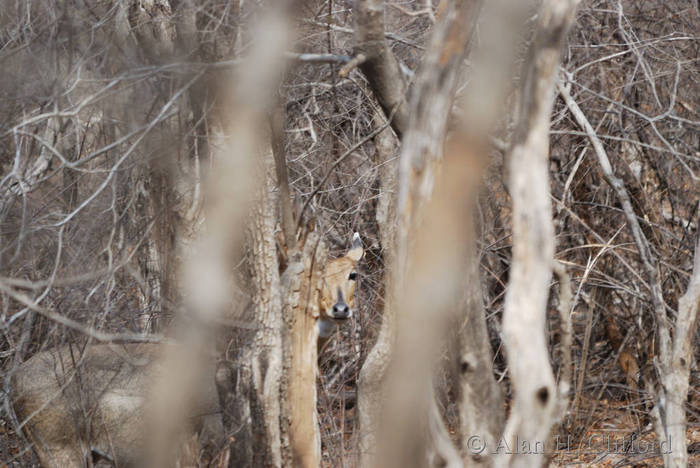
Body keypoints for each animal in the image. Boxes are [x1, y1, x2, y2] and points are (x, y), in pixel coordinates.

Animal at [10, 232, 364, 466]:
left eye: (353, 274)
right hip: (58, 445)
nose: (340, 309)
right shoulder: (212, 441)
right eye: (312, 277)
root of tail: (13, 383)